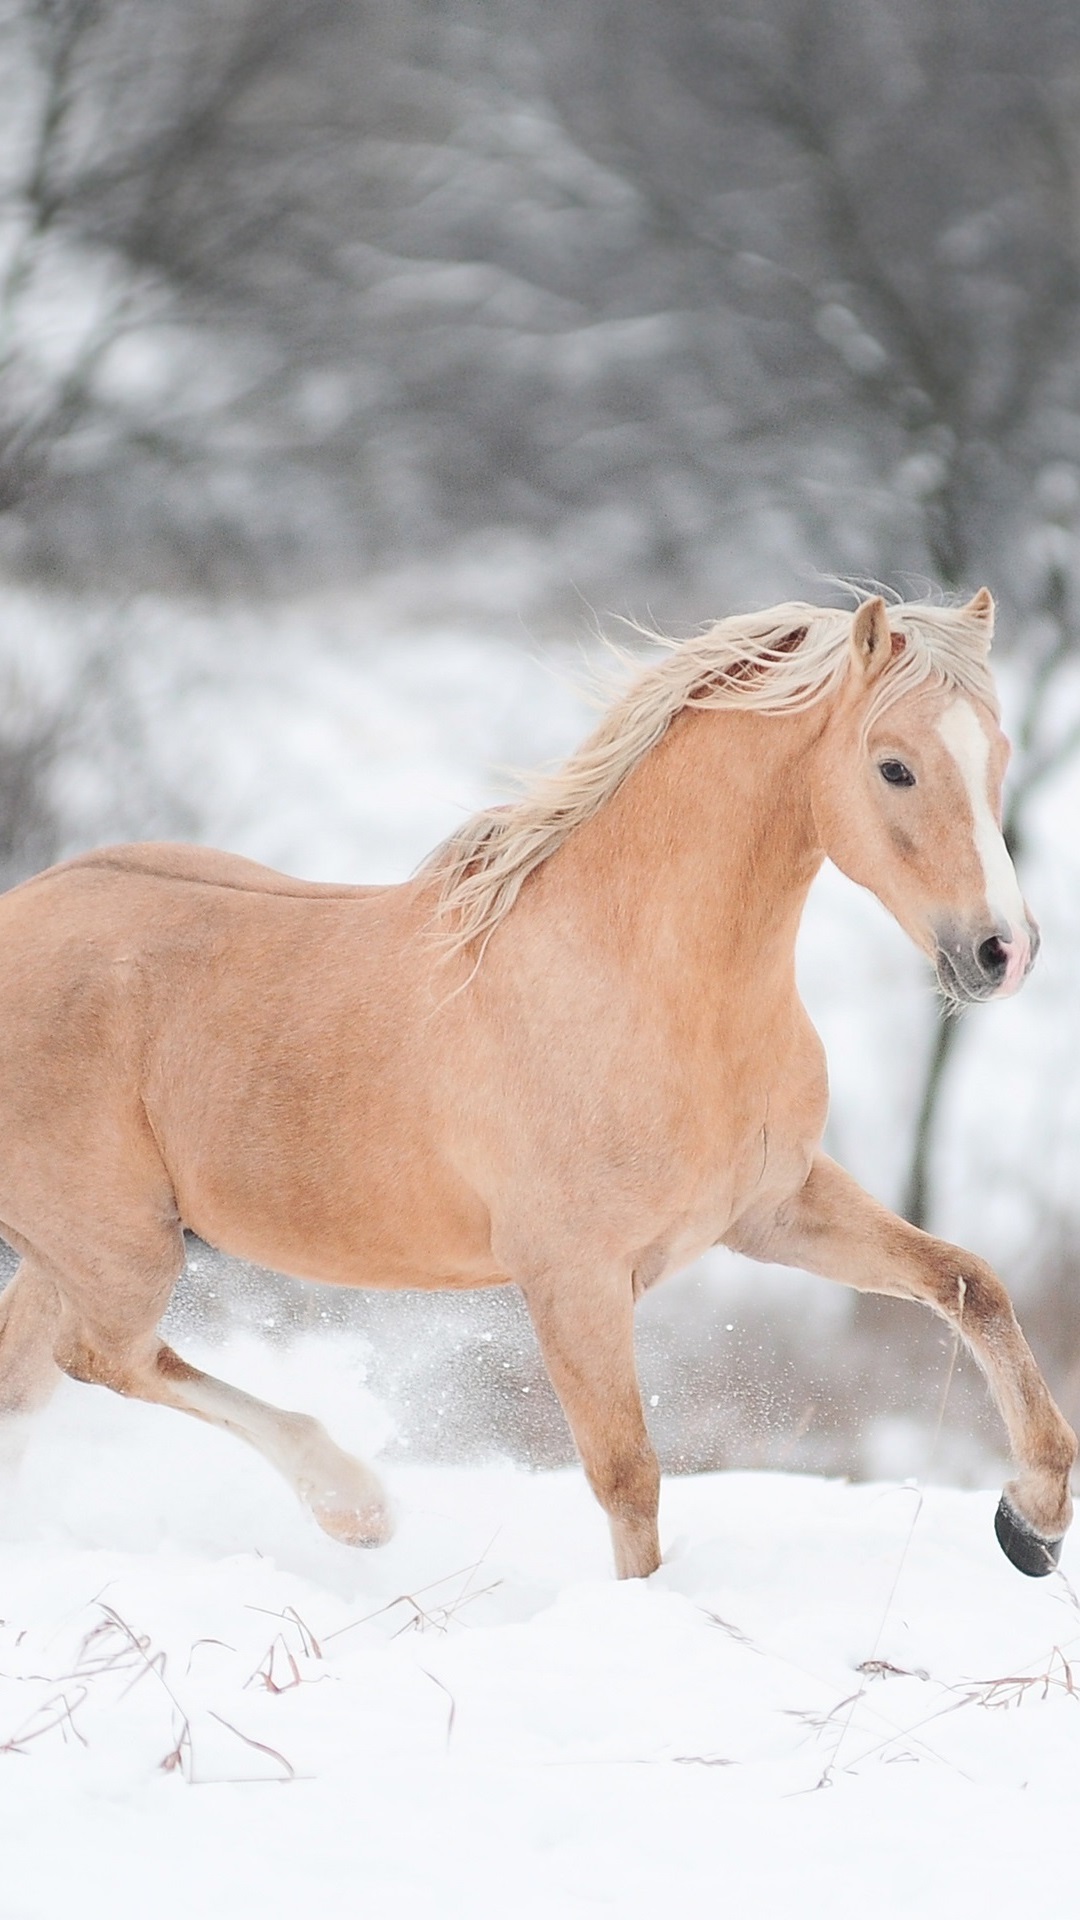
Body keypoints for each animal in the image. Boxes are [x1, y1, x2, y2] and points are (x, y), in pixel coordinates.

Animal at [0, 591, 1073, 1580]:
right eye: (894, 766)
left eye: (1000, 753)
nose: (1003, 953)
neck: (645, 984)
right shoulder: (574, 1278)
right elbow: (628, 1476)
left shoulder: (775, 1208)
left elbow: (969, 1283)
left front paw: (1034, 1520)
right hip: (122, 1246)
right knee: (105, 1358)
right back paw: (354, 1504)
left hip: (74, 1253)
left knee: (33, 1378)